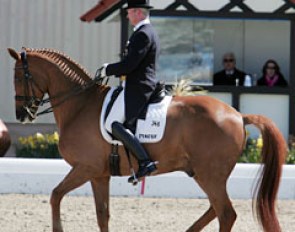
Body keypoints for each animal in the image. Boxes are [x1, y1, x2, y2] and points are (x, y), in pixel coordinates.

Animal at [8, 47, 286, 232]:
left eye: (19, 77)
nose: (22, 114)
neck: (80, 104)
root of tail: (239, 115)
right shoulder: (99, 174)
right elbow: (102, 214)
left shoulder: (85, 168)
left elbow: (55, 195)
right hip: (204, 173)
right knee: (215, 210)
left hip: (210, 174)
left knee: (226, 213)